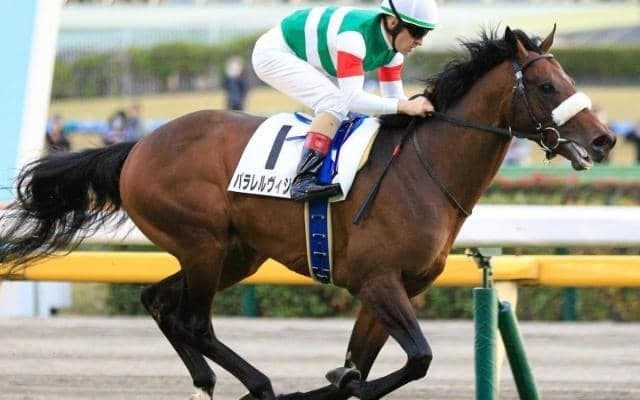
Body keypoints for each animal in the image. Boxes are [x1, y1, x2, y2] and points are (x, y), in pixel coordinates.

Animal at [0, 26, 615, 400]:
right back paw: (261, 383)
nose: (605, 139)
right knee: (194, 320)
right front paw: (329, 385)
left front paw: (340, 379)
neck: (422, 172)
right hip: (203, 244)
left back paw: (206, 379)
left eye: (569, 79)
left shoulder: (393, 289)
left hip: (236, 253)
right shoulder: (378, 280)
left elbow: (364, 363)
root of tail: (139, 146)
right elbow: (415, 359)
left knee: (159, 301)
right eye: (546, 84)